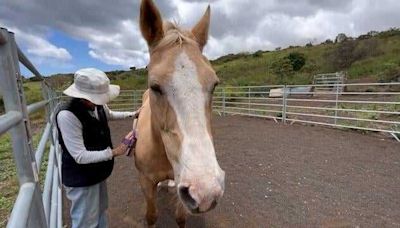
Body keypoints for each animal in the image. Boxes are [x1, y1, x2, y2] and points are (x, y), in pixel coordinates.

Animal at [134, 0, 225, 226]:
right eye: (154, 86)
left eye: (214, 84)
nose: (206, 191)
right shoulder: (145, 182)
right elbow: (151, 216)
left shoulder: (182, 186)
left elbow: (180, 217)